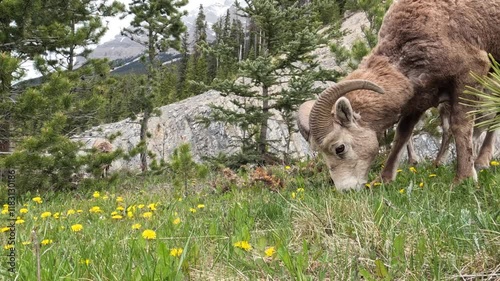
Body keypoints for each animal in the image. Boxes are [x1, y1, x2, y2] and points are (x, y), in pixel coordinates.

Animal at [296, 0, 500, 190]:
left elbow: (460, 126)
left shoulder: (469, 76)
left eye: (340, 148)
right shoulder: (419, 99)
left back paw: (481, 162)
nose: (346, 190)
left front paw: (463, 179)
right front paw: (383, 180)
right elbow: (402, 135)